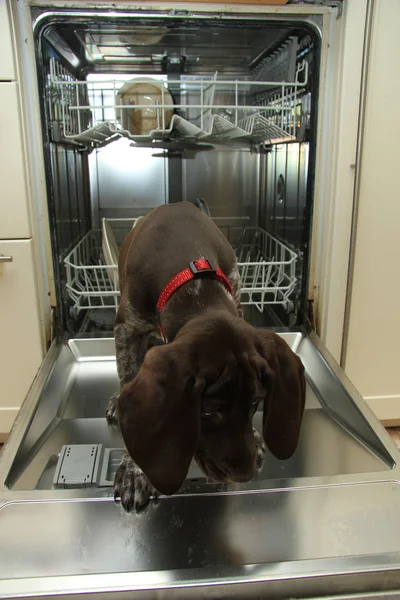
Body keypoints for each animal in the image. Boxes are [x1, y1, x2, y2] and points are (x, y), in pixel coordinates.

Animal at [106, 203, 306, 510]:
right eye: (207, 413)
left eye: (255, 403)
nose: (245, 474)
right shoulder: (127, 328)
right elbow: (128, 377)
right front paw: (134, 470)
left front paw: (255, 435)